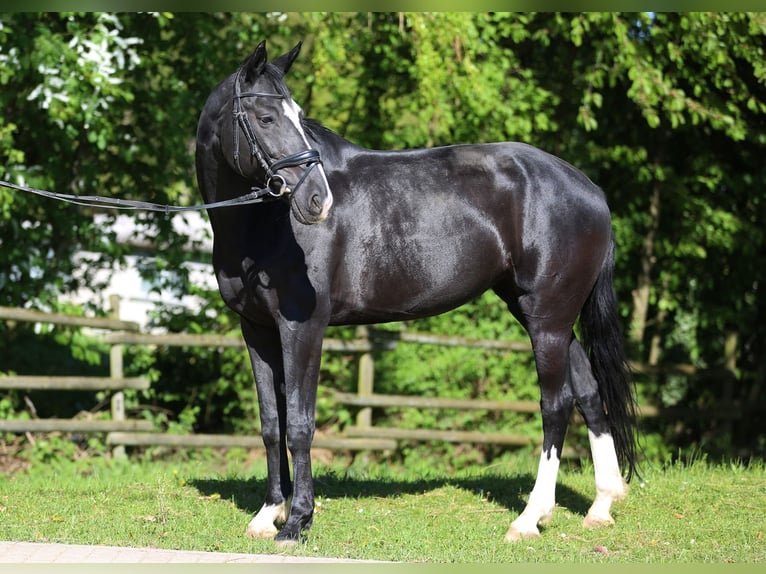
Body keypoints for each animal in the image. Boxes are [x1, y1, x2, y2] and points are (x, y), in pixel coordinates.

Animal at [195, 40, 638, 543]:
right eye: (267, 118)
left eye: (299, 116)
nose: (317, 201)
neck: (262, 226)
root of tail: (592, 191)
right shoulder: (257, 330)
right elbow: (272, 423)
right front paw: (269, 514)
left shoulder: (302, 329)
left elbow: (300, 424)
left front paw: (297, 522)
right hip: (548, 316)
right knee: (588, 391)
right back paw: (600, 506)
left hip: (548, 319)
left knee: (556, 404)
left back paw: (529, 518)